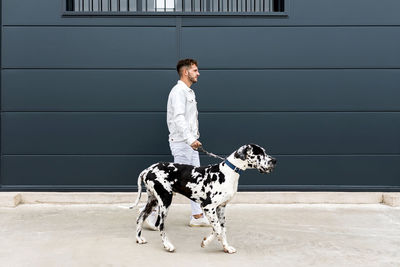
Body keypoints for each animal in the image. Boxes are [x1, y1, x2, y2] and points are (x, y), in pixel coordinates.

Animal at [130, 143, 276, 254]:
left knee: (140, 217)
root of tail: (148, 170)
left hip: (153, 200)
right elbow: (217, 229)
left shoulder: (221, 208)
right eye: (259, 153)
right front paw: (206, 242)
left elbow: (222, 229)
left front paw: (226, 247)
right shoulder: (208, 207)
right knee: (160, 225)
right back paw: (167, 245)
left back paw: (139, 238)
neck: (228, 172)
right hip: (165, 201)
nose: (274, 160)